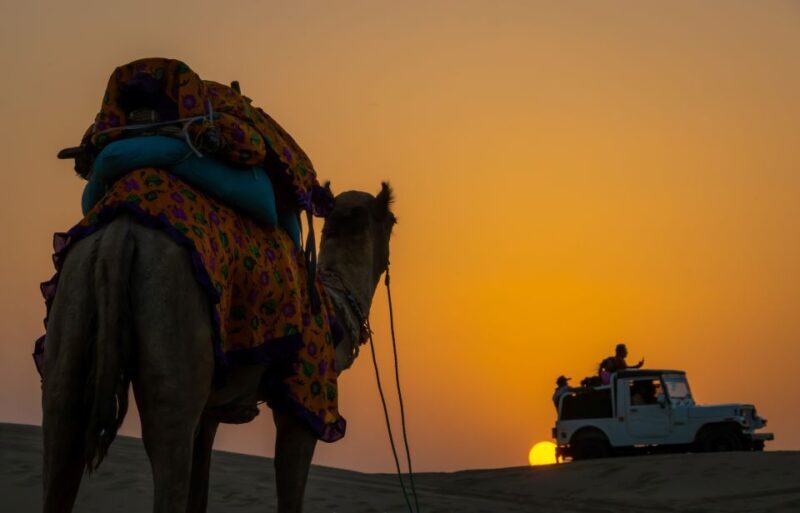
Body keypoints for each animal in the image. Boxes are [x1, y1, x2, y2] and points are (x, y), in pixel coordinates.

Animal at [41, 182, 396, 513]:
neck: (334, 303)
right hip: (176, 339)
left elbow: (200, 496)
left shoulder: (212, 411)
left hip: (75, 301)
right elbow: (289, 497)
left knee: (62, 436)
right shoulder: (304, 404)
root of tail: (121, 234)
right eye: (393, 220)